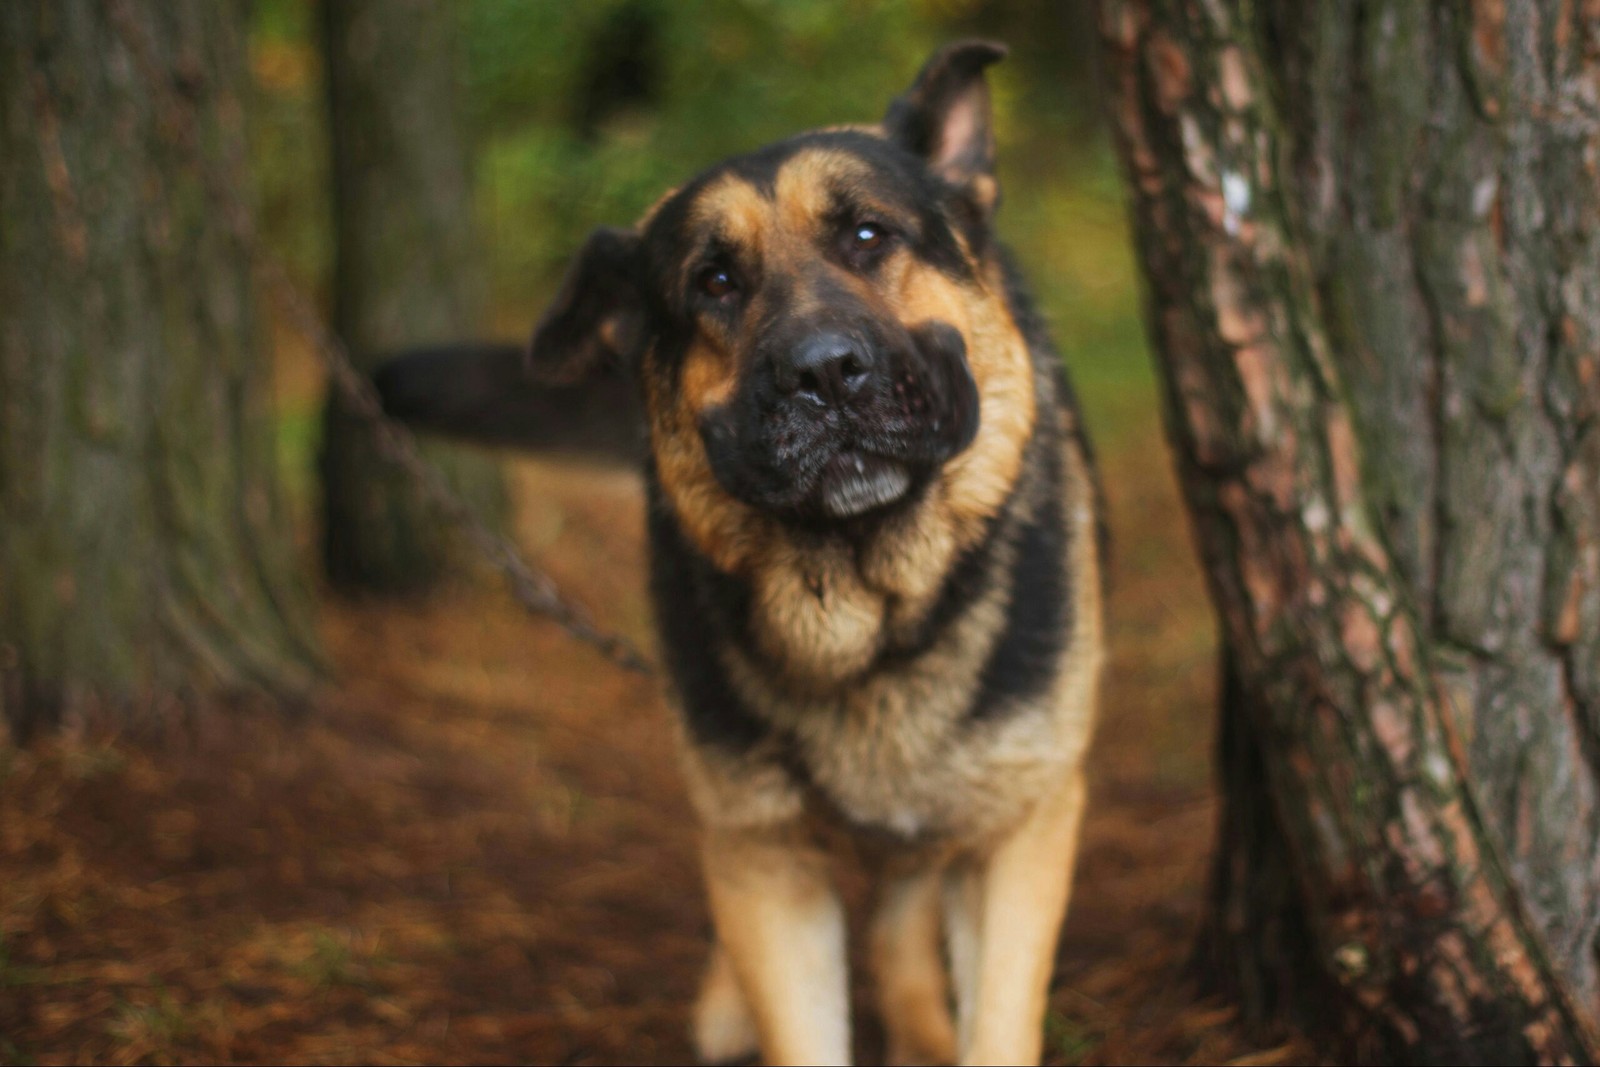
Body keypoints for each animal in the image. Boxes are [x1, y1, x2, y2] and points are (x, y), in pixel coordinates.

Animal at [374, 37, 1100, 1062]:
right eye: (714, 283)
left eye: (869, 237)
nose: (824, 373)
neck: (865, 615)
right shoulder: (765, 861)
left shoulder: (1018, 836)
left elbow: (993, 1024)